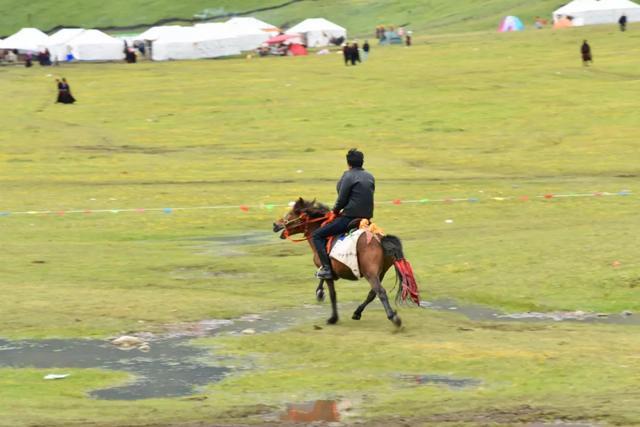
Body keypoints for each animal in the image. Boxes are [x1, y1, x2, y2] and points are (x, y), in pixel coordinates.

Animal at [270, 198, 420, 328]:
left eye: (290, 214)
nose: (275, 224)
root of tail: (379, 238)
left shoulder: (326, 269)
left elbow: (332, 292)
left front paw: (332, 317)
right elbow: (323, 278)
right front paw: (320, 292)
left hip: (370, 273)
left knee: (380, 291)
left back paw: (393, 318)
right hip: (380, 272)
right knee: (372, 293)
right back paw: (357, 312)